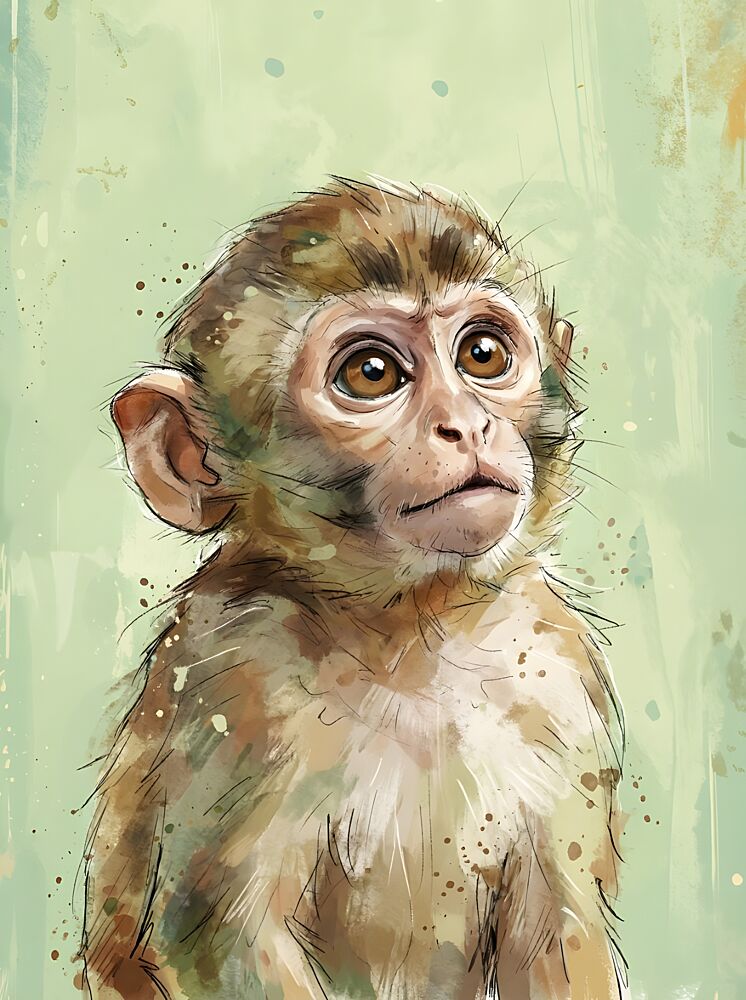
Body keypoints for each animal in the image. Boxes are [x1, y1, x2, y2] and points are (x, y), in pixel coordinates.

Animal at [77, 176, 627, 1000]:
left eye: (483, 354)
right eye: (372, 374)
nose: (464, 426)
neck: (411, 631)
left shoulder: (555, 664)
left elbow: (558, 936)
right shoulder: (233, 676)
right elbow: (216, 938)